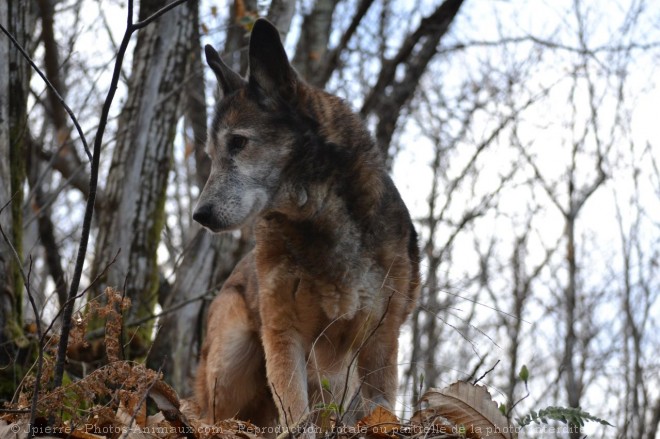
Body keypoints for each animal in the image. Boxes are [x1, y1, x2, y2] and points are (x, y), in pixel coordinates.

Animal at [193, 18, 420, 432]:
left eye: (238, 143)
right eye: (211, 155)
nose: (199, 215)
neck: (319, 220)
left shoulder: (380, 337)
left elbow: (380, 410)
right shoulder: (284, 334)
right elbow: (297, 416)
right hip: (231, 365)